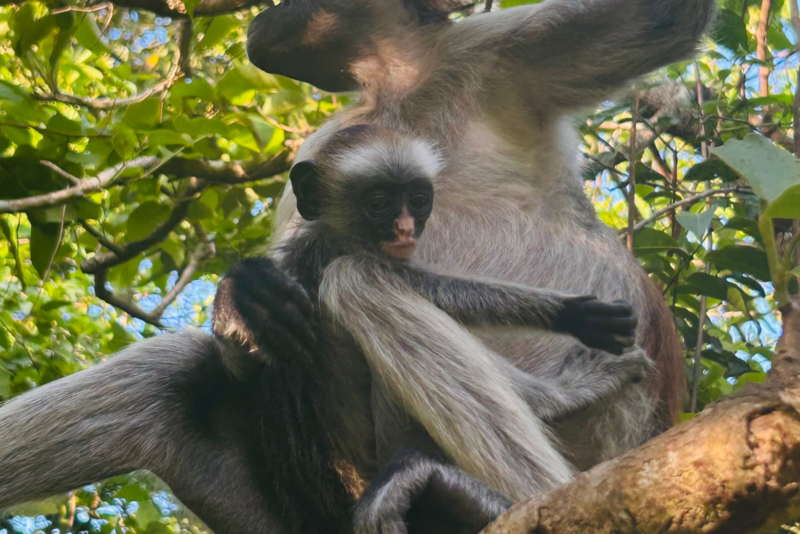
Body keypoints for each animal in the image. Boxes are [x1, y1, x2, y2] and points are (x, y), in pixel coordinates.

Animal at [0, 0, 717, 533]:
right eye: (381, 203)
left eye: (416, 202)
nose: (264, 18)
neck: (403, 90)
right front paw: (242, 297)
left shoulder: (495, 50)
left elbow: (671, 20)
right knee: (178, 377)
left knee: (359, 284)